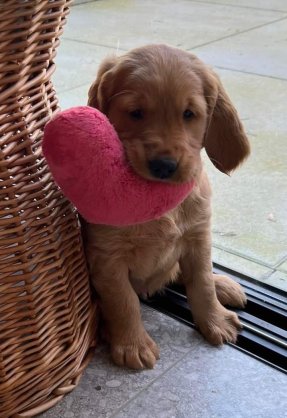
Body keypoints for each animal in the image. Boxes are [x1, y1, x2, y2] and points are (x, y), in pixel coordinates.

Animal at [84, 43, 251, 370]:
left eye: (189, 114)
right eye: (135, 113)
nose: (164, 166)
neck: (157, 199)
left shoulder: (198, 238)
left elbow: (201, 282)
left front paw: (214, 319)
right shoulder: (107, 257)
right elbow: (123, 301)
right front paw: (132, 344)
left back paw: (224, 285)